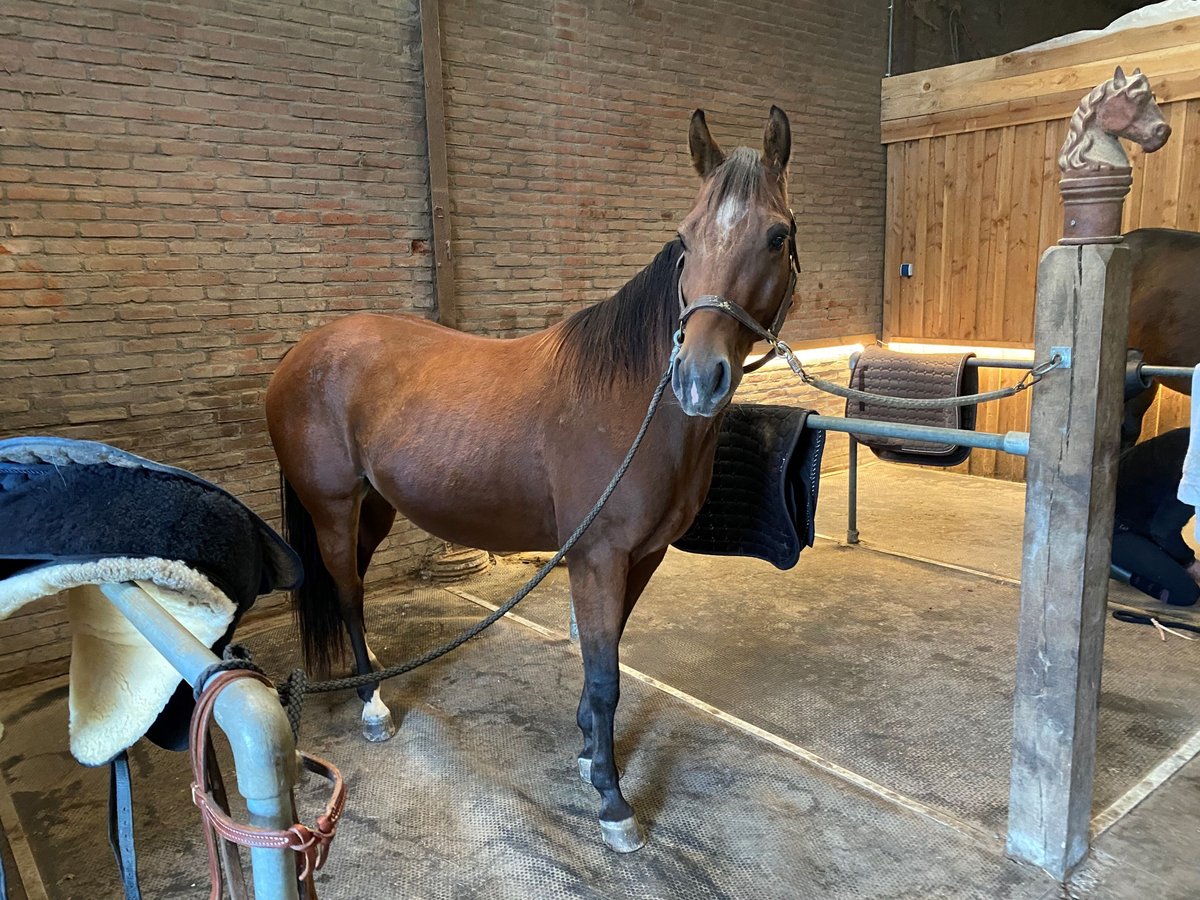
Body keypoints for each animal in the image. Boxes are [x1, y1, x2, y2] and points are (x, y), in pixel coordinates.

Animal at [267, 105, 801, 854]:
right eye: (685, 237)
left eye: (778, 236)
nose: (698, 378)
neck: (634, 401)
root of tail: (304, 353)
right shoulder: (598, 557)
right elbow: (605, 677)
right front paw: (612, 800)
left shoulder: (640, 556)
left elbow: (606, 661)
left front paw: (585, 751)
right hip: (334, 508)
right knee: (345, 591)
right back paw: (372, 706)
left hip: (374, 509)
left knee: (355, 592)